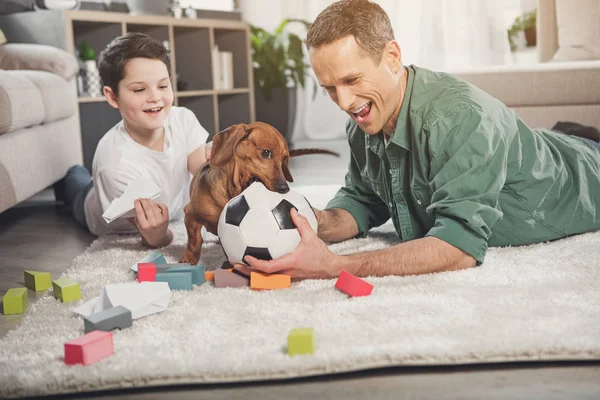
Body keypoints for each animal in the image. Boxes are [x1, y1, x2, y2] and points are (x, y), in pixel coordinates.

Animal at [178, 122, 338, 266]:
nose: (284, 188)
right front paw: (188, 260)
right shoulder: (190, 214)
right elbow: (194, 241)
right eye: (266, 152)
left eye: (284, 159)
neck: (231, 193)